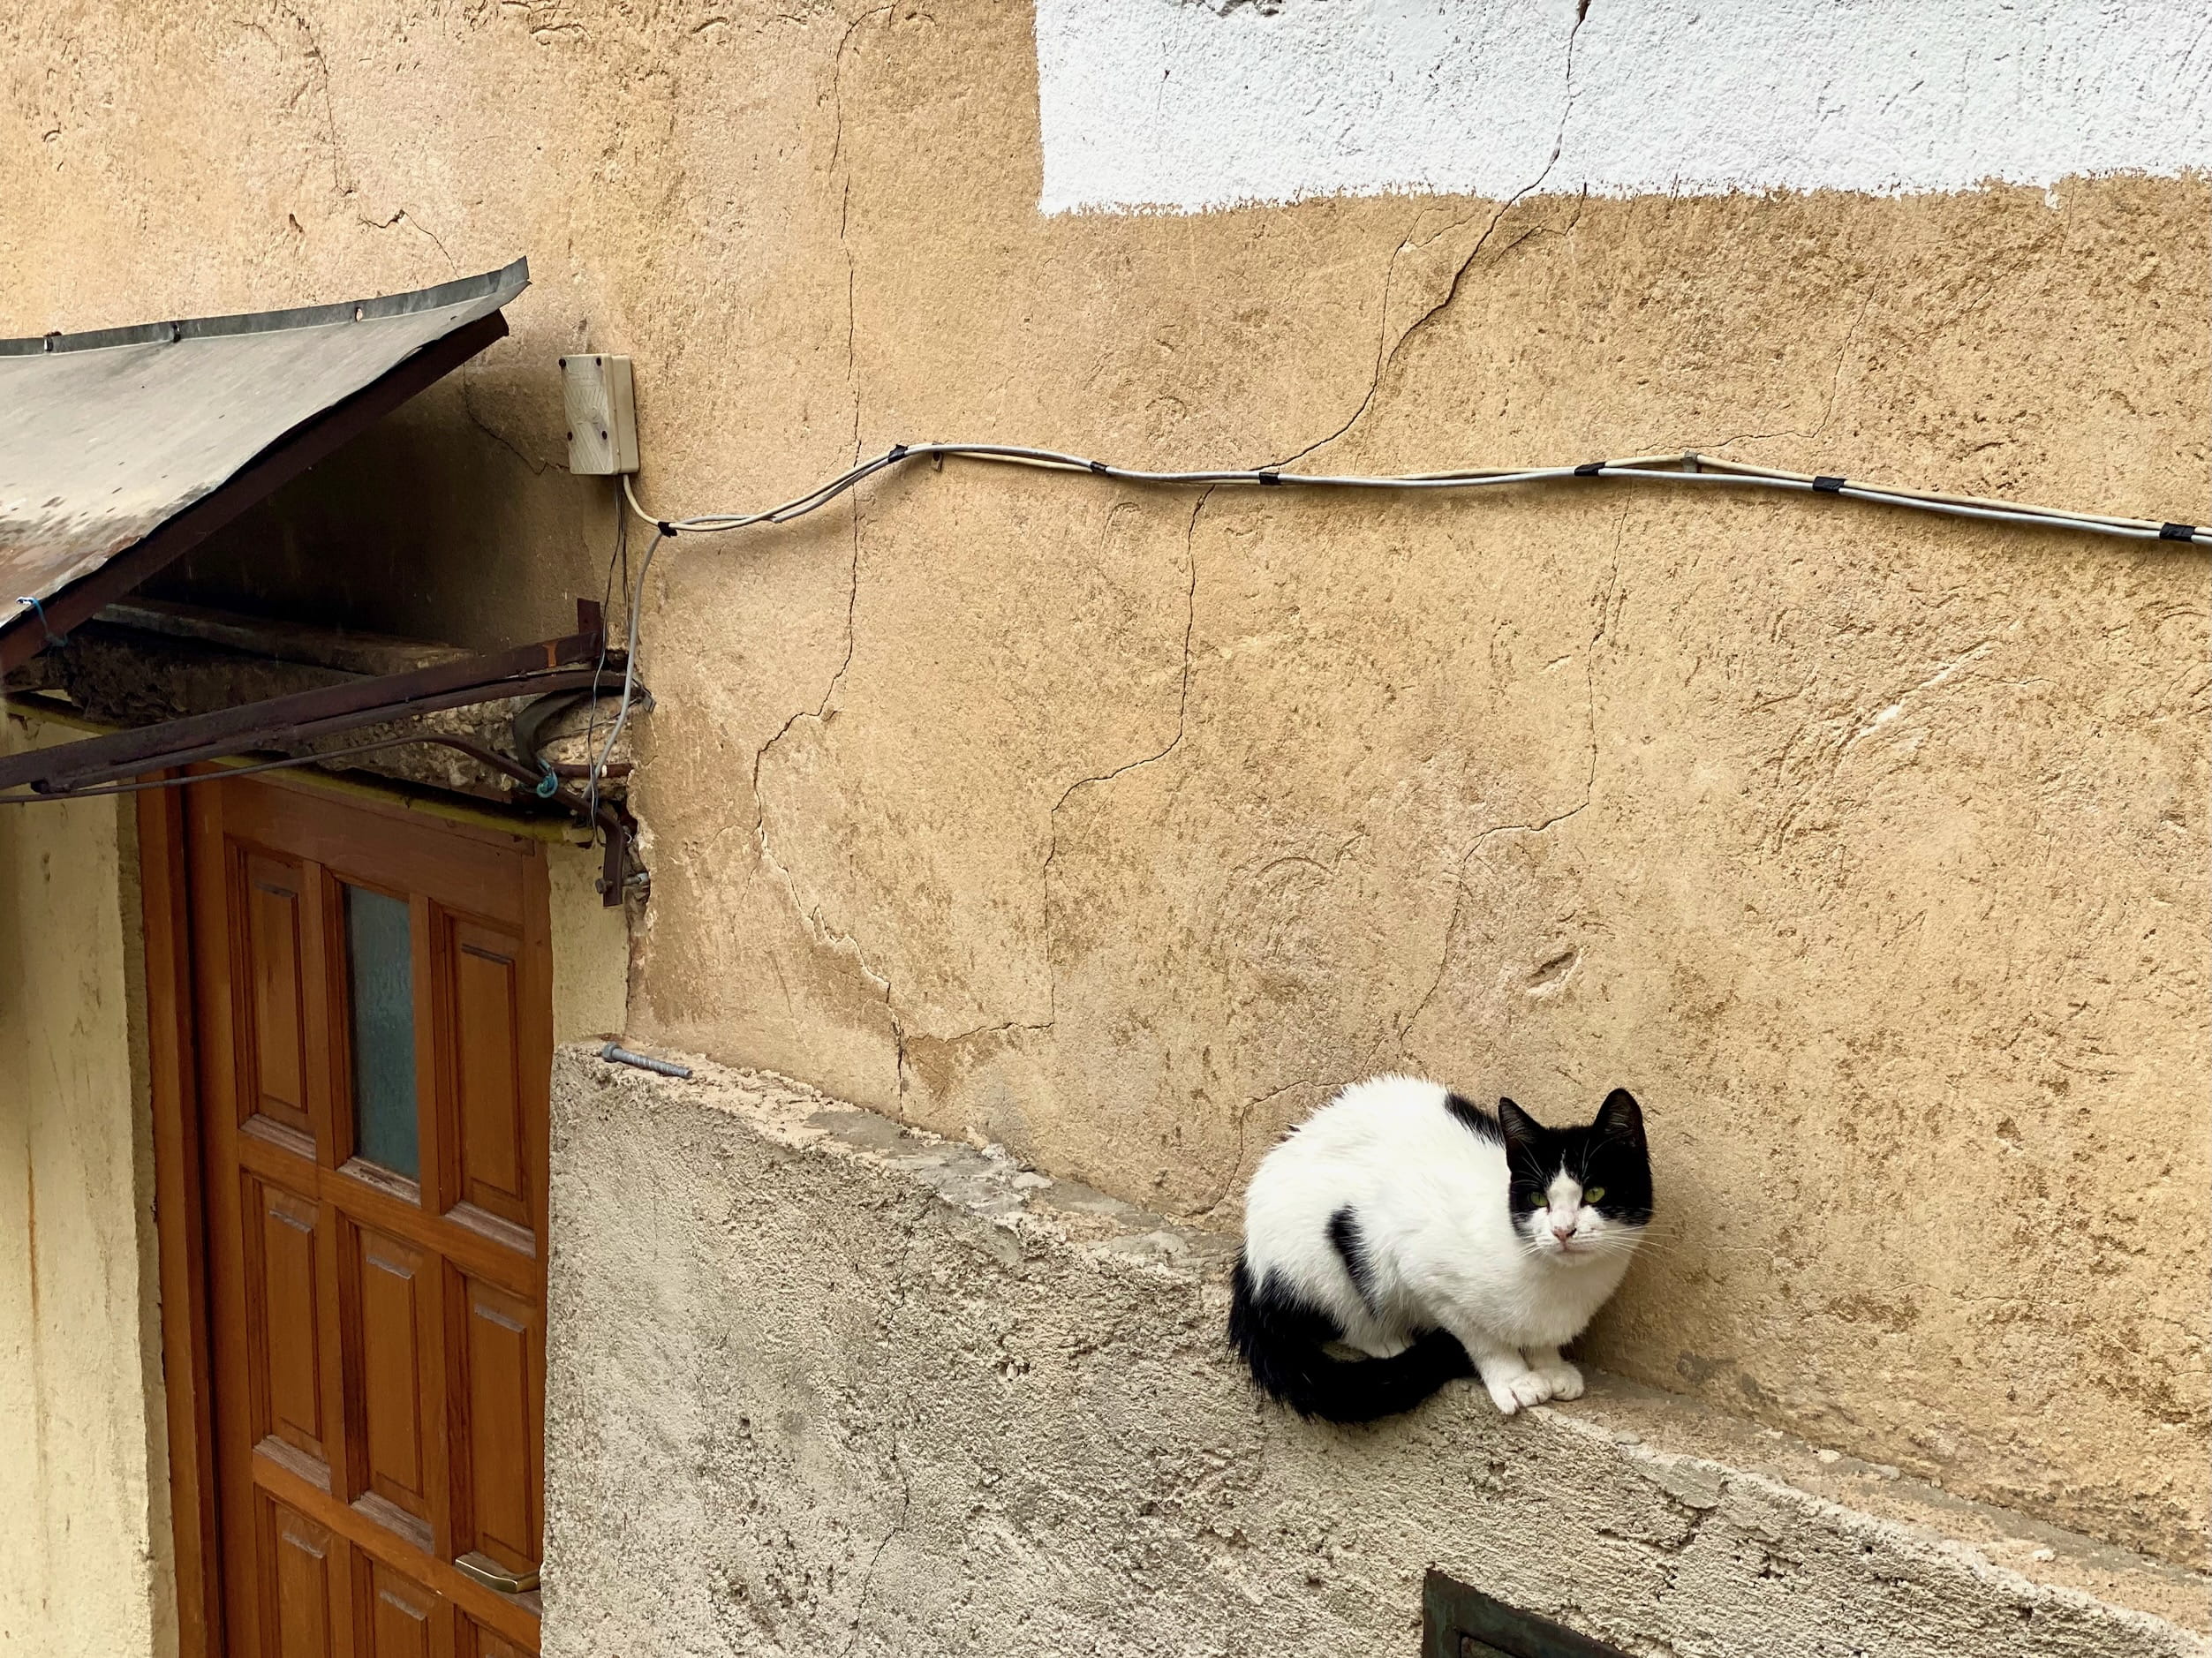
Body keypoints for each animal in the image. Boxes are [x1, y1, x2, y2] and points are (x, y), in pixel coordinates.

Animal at [1228, 1076, 1651, 1422]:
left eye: (1595, 1193)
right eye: (1537, 1198)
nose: (1563, 1231)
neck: (1562, 1283)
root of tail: (1249, 1263)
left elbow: (1540, 1339)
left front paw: (1549, 1366)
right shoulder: (1426, 1273)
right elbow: (1483, 1339)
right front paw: (1515, 1379)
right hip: (1326, 1252)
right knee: (1346, 1315)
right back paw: (1386, 1339)